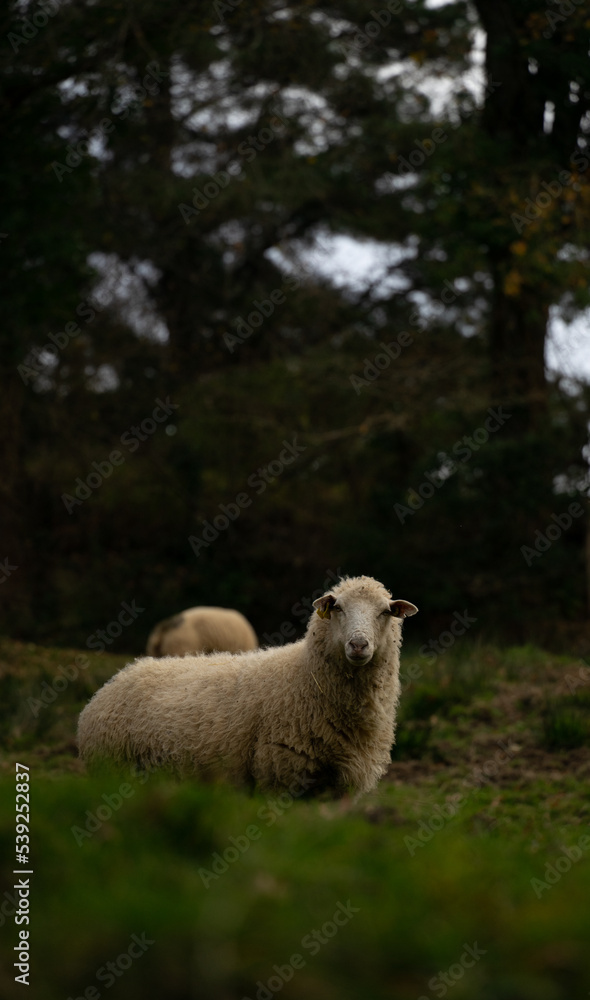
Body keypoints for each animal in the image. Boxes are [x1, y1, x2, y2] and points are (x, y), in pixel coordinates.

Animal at [78, 576, 418, 797]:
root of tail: (120, 676)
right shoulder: (282, 773)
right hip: (111, 768)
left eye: (385, 612)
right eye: (338, 608)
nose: (358, 645)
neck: (303, 678)